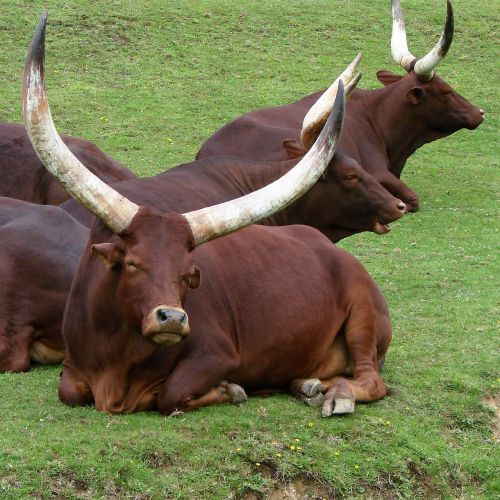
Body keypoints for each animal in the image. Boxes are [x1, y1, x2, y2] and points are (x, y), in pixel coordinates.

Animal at [23, 13, 392, 416]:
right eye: (133, 264)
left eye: (188, 274)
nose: (172, 318)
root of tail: (339, 255)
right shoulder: (73, 367)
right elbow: (69, 392)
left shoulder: (217, 355)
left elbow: (169, 395)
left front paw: (231, 389)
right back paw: (307, 385)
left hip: (363, 316)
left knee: (372, 380)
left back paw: (337, 395)